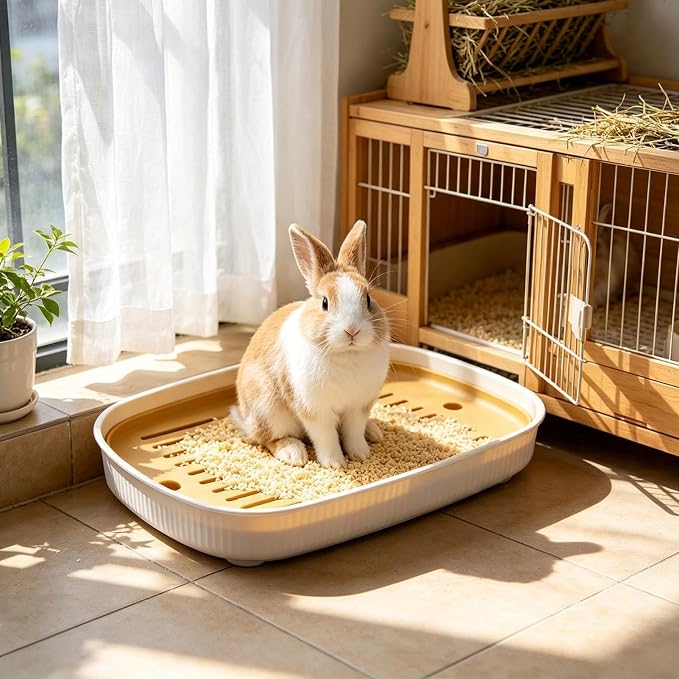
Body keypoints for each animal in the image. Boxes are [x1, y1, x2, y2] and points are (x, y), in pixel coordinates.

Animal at [230, 220, 390, 469]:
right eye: (324, 303)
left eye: (368, 299)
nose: (352, 330)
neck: (347, 354)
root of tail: (246, 419)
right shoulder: (315, 410)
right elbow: (325, 437)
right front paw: (335, 464)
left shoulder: (358, 407)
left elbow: (353, 432)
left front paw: (360, 454)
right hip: (269, 412)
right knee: (266, 439)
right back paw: (293, 453)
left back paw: (373, 432)